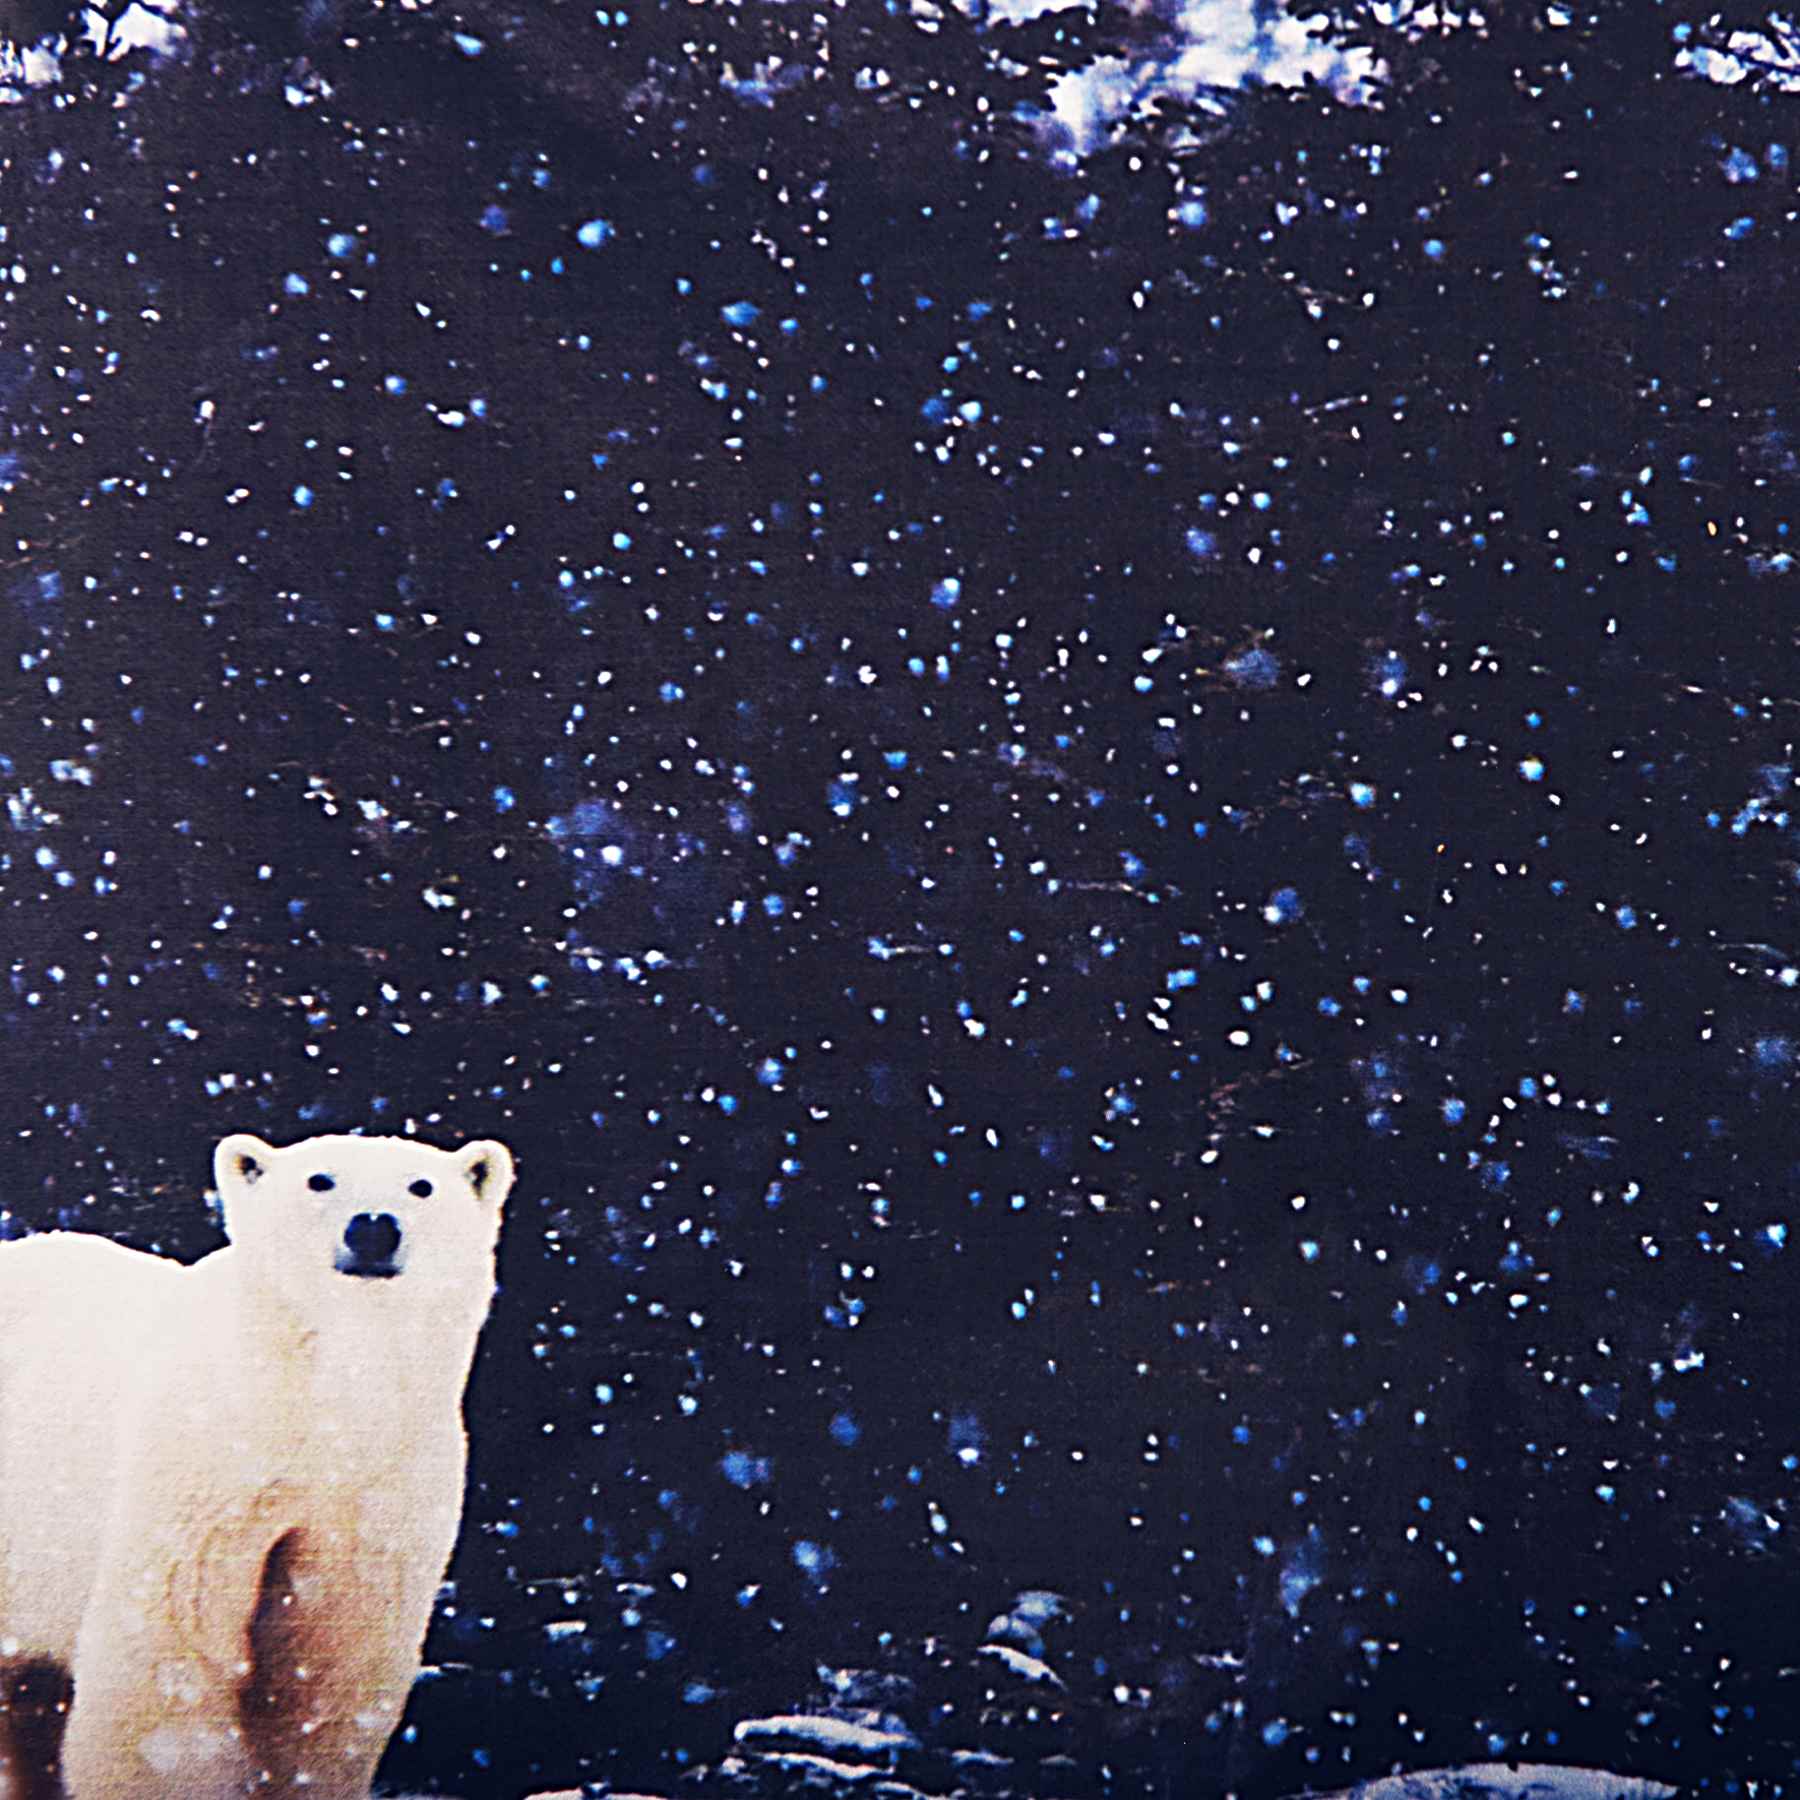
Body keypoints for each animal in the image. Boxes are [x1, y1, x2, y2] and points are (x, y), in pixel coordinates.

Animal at [0, 1130, 514, 1800]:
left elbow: (328, 1664)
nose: (373, 1227)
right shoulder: (204, 1469)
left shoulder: (379, 1489)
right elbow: (171, 1654)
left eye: (420, 1186)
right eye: (319, 1179)